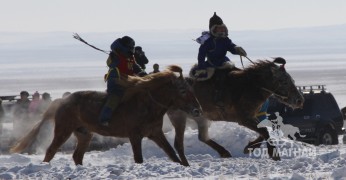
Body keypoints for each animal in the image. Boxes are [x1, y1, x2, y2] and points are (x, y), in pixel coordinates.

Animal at [10, 65, 203, 167]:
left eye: (192, 89)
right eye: (183, 90)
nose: (197, 110)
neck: (147, 103)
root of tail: (63, 100)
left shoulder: (155, 133)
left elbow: (172, 153)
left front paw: (184, 165)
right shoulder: (135, 136)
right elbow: (139, 158)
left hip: (84, 133)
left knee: (77, 156)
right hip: (64, 129)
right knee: (51, 150)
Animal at [166, 58, 304, 165]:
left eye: (292, 81)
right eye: (284, 82)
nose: (299, 100)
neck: (249, 86)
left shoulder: (252, 117)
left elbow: (263, 131)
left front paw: (249, 147)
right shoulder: (244, 119)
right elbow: (264, 131)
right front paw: (273, 153)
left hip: (201, 118)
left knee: (203, 137)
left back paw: (224, 152)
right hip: (179, 117)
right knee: (178, 143)